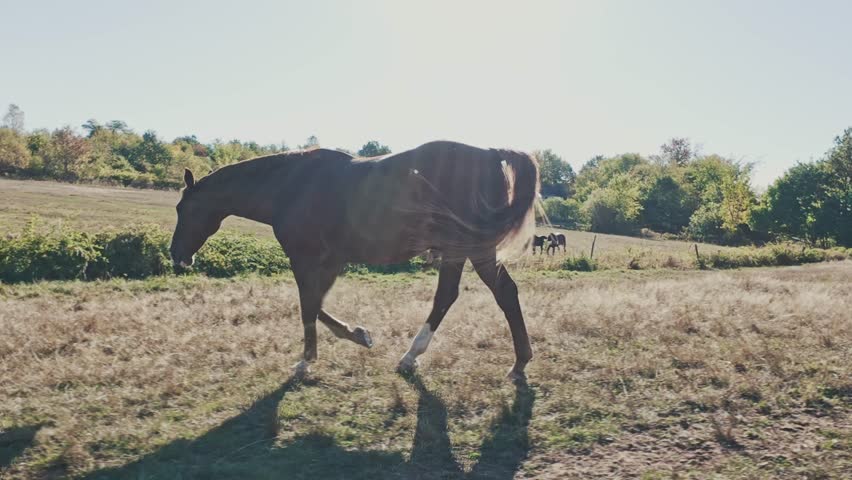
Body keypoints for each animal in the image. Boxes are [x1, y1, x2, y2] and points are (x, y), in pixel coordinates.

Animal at [169, 141, 540, 382]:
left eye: (183, 208)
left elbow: (307, 307)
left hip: (468, 249)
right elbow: (316, 306)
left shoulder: (305, 259)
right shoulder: (330, 261)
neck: (288, 186)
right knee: (476, 295)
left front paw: (307, 361)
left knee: (480, 295)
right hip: (463, 251)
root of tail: (491, 155)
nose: (176, 255)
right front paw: (358, 334)